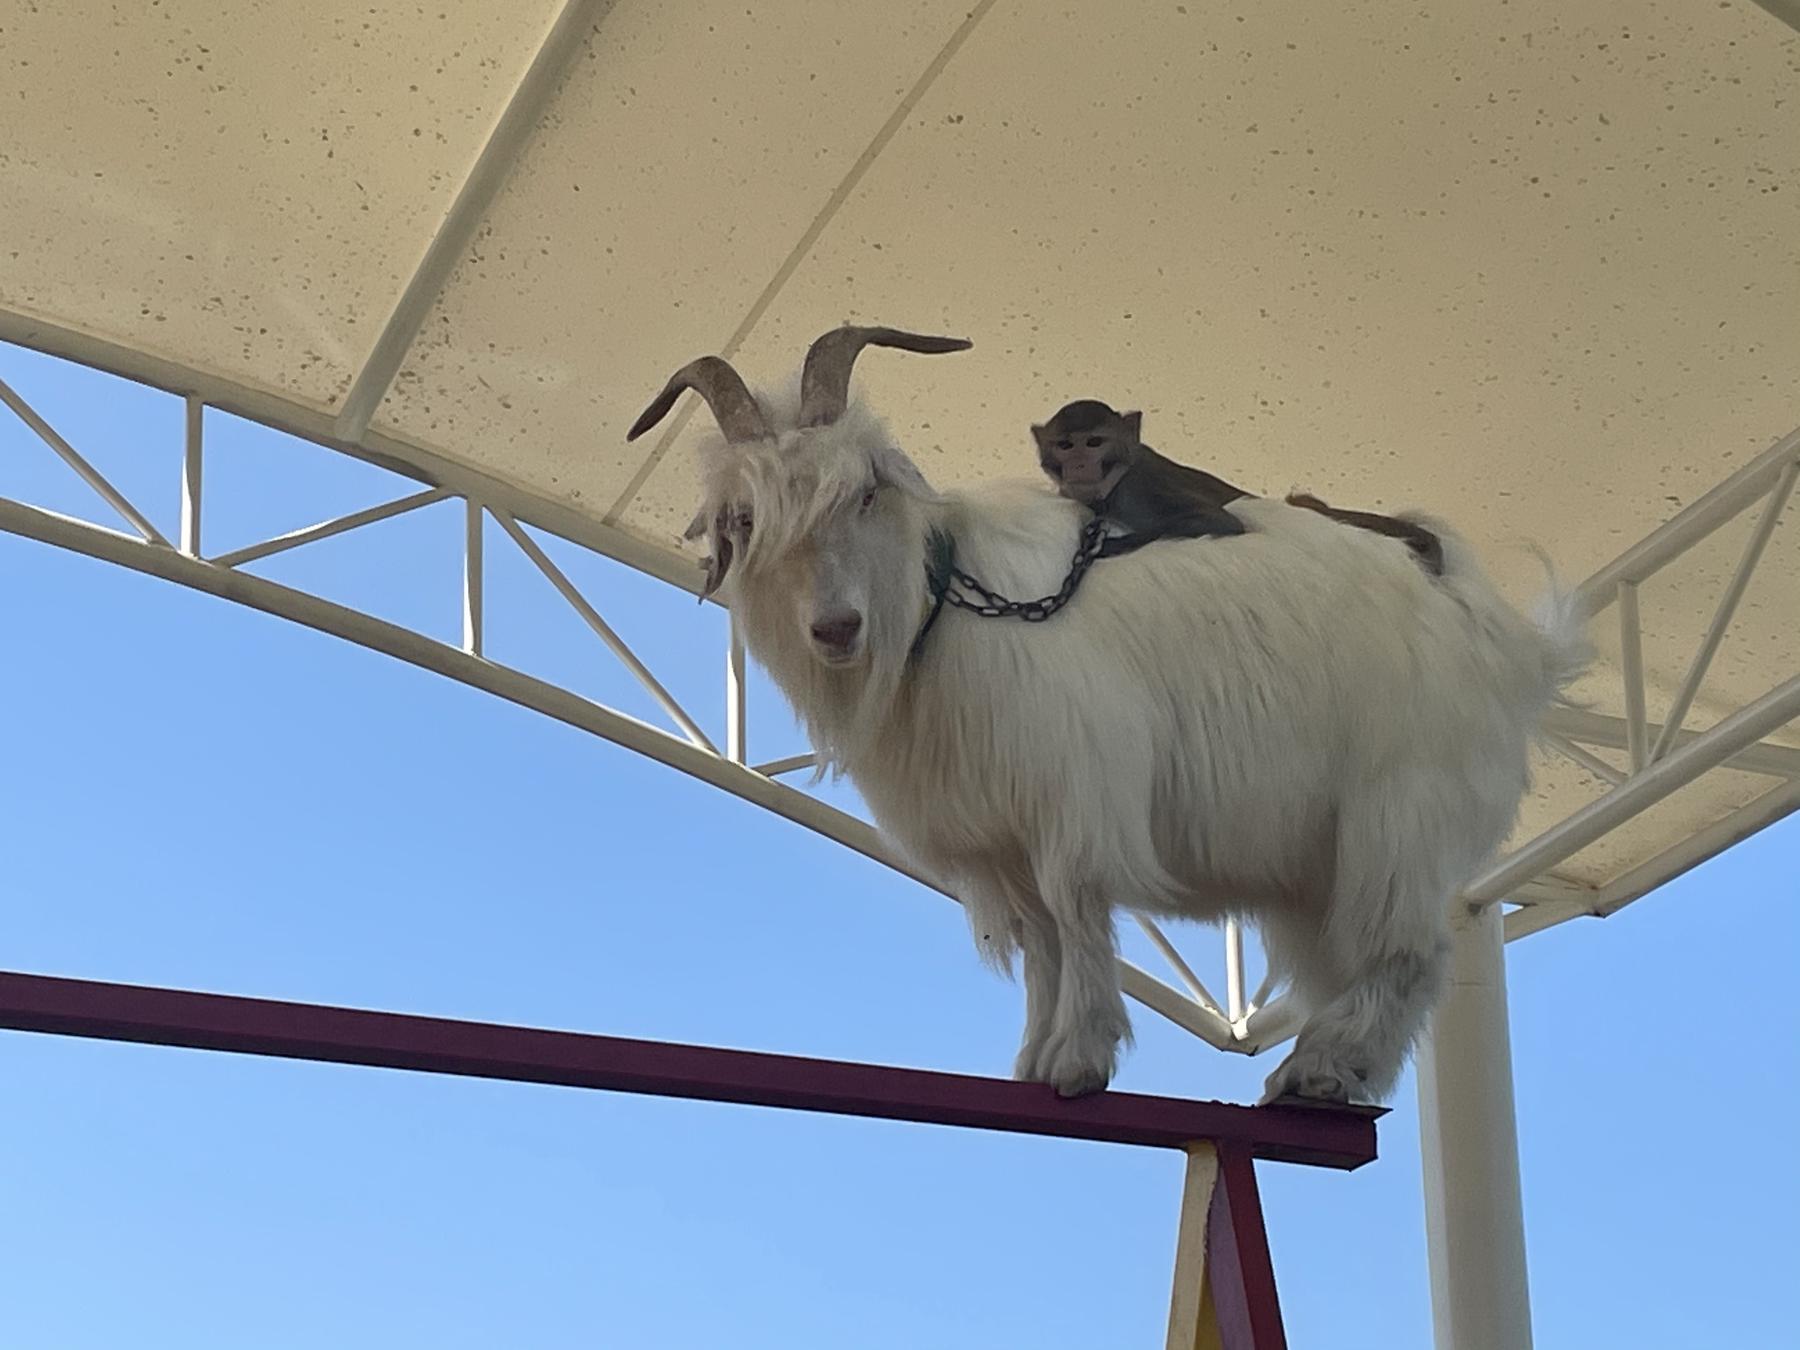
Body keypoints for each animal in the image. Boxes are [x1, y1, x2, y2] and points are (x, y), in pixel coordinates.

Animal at [1036, 396, 1440, 576]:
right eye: (1065, 445)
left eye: (1094, 442)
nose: (1078, 464)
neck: (1116, 480)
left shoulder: (1140, 488)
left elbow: (1222, 522)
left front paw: (1112, 546)